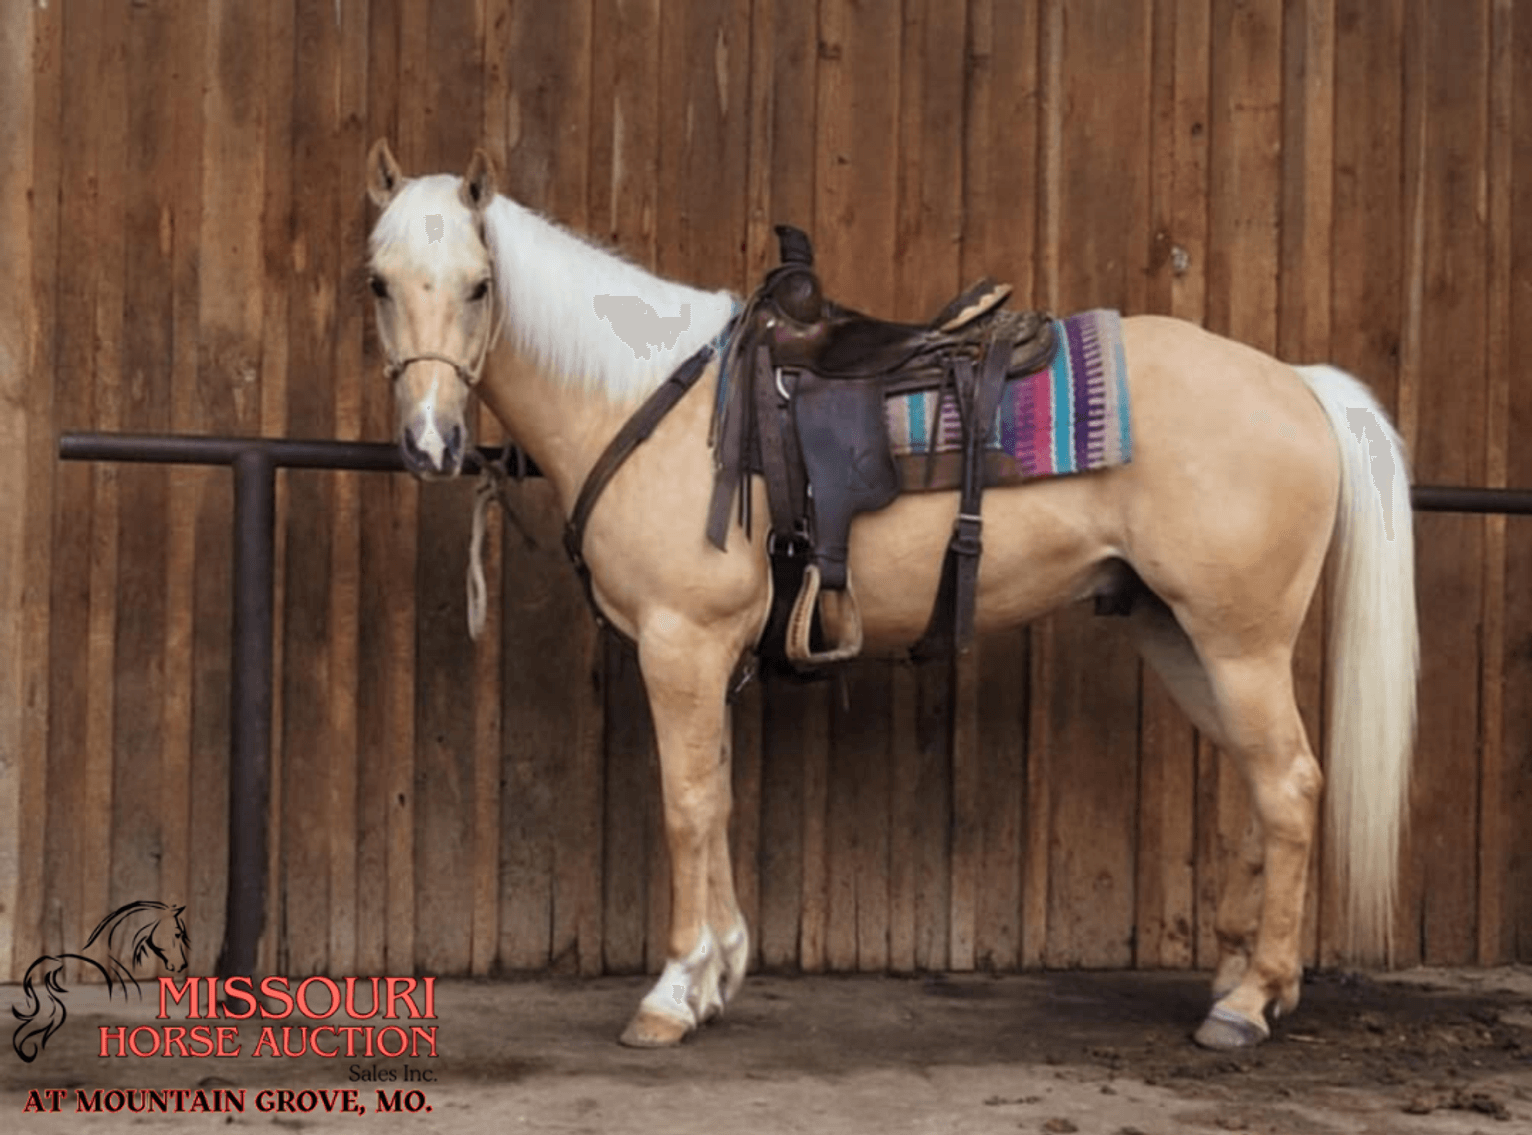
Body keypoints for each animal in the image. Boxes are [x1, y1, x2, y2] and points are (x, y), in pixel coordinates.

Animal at [362, 140, 1417, 1052]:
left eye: (480, 285)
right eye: (377, 281)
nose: (430, 444)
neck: (644, 401)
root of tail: (1297, 383)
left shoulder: (681, 644)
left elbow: (688, 804)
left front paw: (673, 990)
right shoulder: (708, 657)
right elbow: (722, 798)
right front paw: (720, 973)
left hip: (1239, 642)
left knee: (1290, 783)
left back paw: (1247, 1001)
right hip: (1182, 634)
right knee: (1259, 782)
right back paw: (1245, 976)